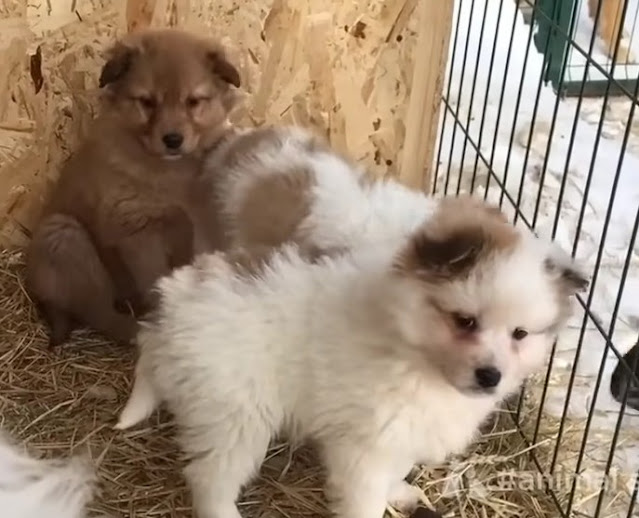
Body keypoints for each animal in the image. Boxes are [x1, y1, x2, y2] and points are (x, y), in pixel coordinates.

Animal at [25, 28, 242, 350]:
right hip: (64, 237)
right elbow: (156, 281)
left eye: (193, 101)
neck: (172, 171)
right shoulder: (139, 232)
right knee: (101, 314)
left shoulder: (195, 224)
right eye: (147, 102)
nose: (173, 139)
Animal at [116, 197, 592, 518]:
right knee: (209, 479)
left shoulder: (397, 434)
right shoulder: (364, 447)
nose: (490, 376)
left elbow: (394, 472)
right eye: (465, 321)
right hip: (235, 415)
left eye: (520, 334)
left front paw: (400, 492)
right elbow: (365, 501)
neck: (411, 348)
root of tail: (171, 302)